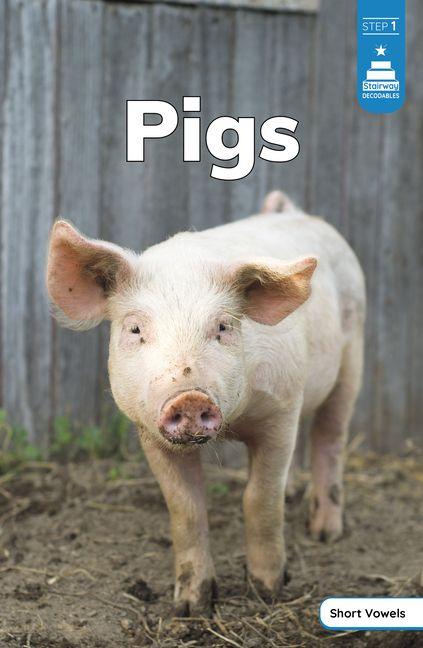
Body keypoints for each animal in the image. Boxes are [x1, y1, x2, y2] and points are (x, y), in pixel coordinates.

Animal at [46, 190, 365, 616]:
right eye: (135, 328)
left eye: (223, 327)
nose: (190, 396)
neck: (235, 423)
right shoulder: (148, 431)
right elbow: (185, 507)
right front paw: (190, 606)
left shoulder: (282, 407)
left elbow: (259, 497)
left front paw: (267, 591)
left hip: (352, 354)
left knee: (331, 436)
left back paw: (325, 533)